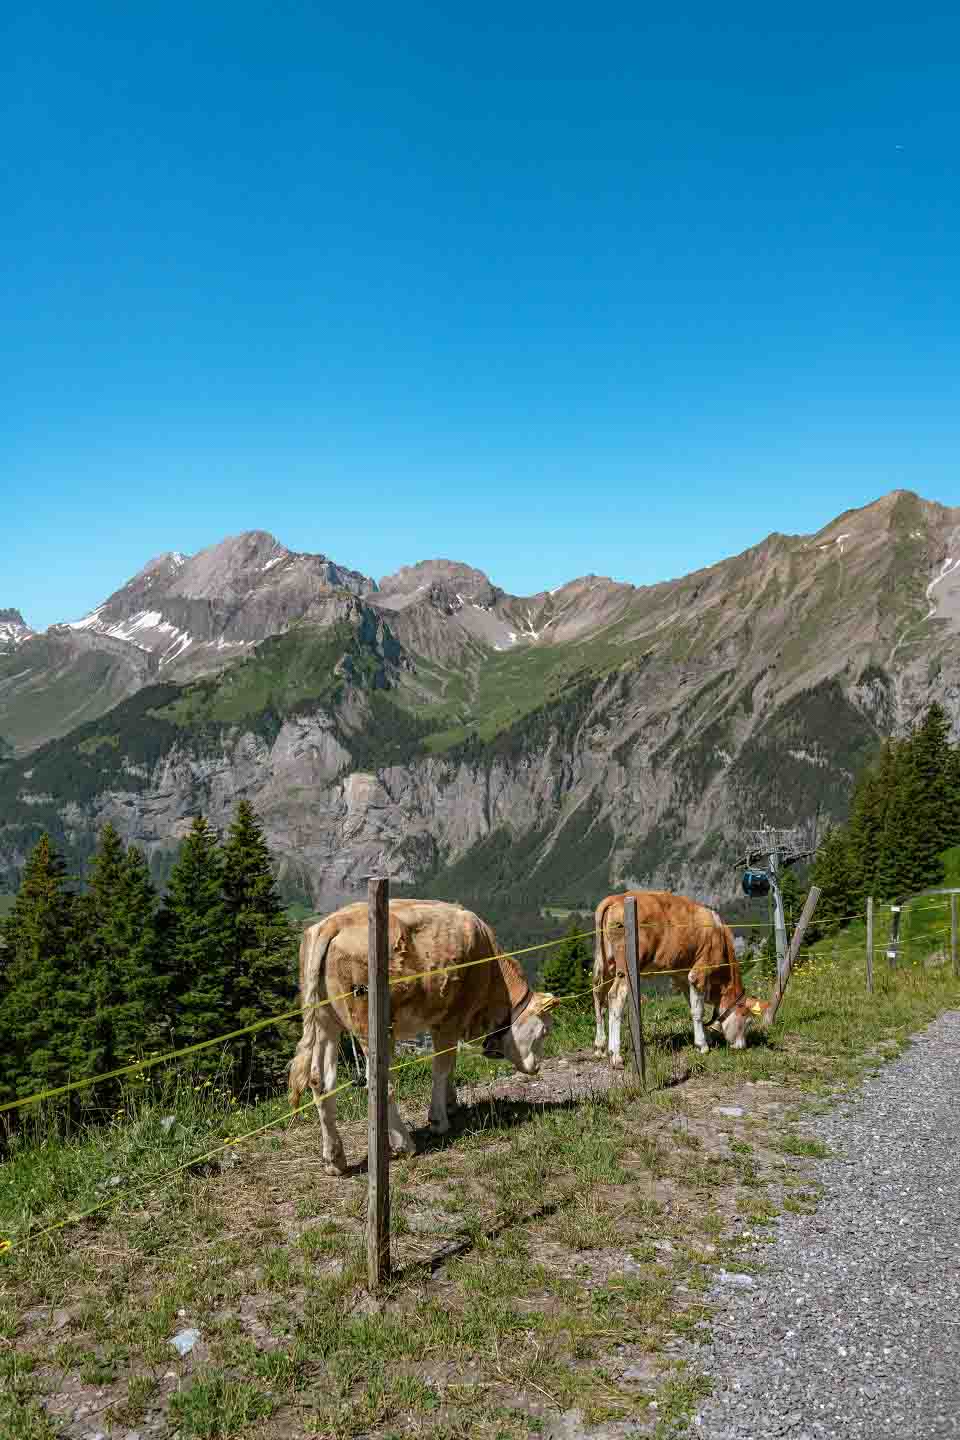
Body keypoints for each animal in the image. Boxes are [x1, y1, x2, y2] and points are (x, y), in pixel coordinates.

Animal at [289, 898, 555, 1169]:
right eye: (545, 1031)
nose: (537, 1067)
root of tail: (333, 922)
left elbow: (451, 1063)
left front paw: (451, 1103)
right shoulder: (449, 1018)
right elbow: (442, 1068)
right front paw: (438, 1120)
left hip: (324, 1021)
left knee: (320, 1082)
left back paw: (335, 1159)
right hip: (370, 1026)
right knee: (377, 1082)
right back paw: (403, 1144)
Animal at [592, 887, 765, 1071]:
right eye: (747, 1021)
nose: (742, 1046)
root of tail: (616, 898)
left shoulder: (683, 976)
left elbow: (693, 1005)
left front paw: (706, 1037)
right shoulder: (700, 971)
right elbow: (698, 1011)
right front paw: (702, 1045)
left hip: (606, 964)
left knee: (598, 995)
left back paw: (600, 1047)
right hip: (626, 966)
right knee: (615, 996)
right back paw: (615, 1055)